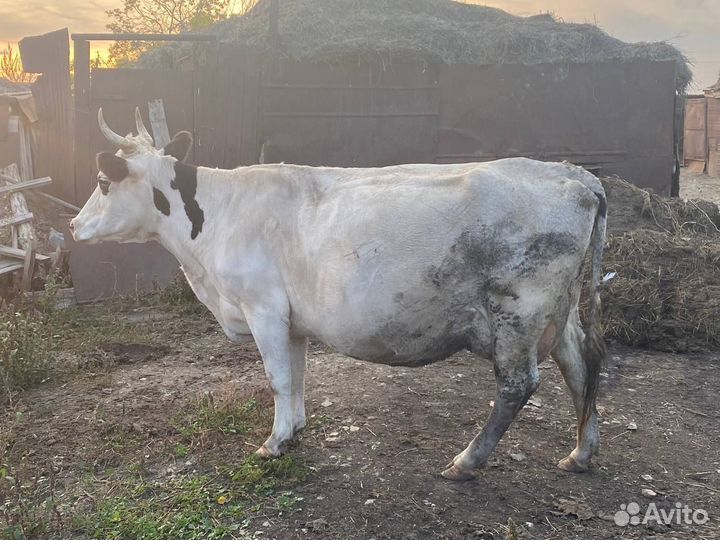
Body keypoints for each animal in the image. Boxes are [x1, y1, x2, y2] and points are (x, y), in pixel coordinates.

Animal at [71, 108, 607, 481]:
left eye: (101, 181)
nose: (74, 225)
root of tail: (573, 174)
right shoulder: (291, 319)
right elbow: (297, 376)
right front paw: (295, 428)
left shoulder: (262, 308)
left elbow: (277, 379)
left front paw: (273, 442)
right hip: (560, 312)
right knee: (581, 364)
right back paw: (581, 453)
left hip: (518, 311)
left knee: (518, 385)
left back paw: (467, 461)